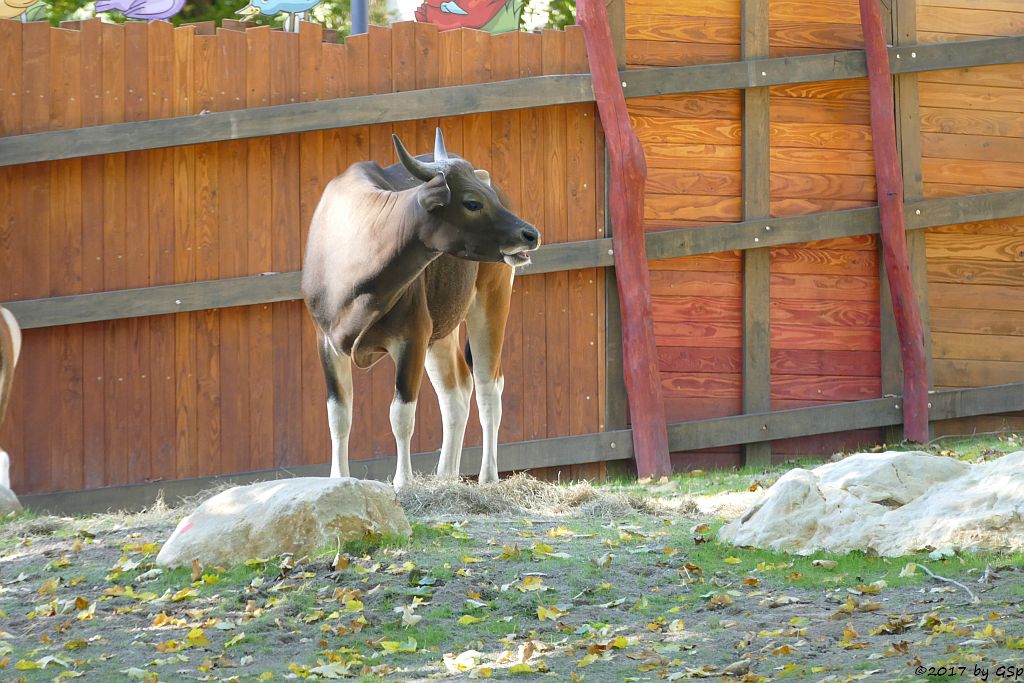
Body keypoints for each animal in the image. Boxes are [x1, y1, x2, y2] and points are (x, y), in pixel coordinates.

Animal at [299, 129, 540, 491]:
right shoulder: (326, 341)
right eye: (472, 201)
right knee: (457, 390)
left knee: (488, 387)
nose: (530, 233)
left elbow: (401, 414)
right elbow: (338, 414)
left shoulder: (411, 336)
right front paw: (338, 479)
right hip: (441, 329)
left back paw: (488, 478)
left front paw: (403, 481)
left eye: (487, 197)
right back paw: (446, 476)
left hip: (492, 298)